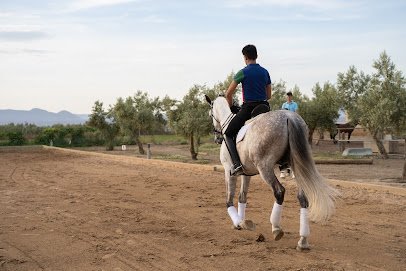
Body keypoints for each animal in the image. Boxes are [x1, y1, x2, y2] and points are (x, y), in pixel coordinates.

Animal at [205, 95, 338, 251]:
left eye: (210, 114)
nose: (217, 138)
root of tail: (289, 117)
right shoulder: (246, 174)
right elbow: (242, 197)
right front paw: (242, 221)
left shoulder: (228, 171)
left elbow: (229, 199)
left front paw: (239, 223)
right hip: (296, 166)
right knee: (302, 197)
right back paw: (303, 240)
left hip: (265, 167)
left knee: (279, 191)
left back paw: (276, 228)